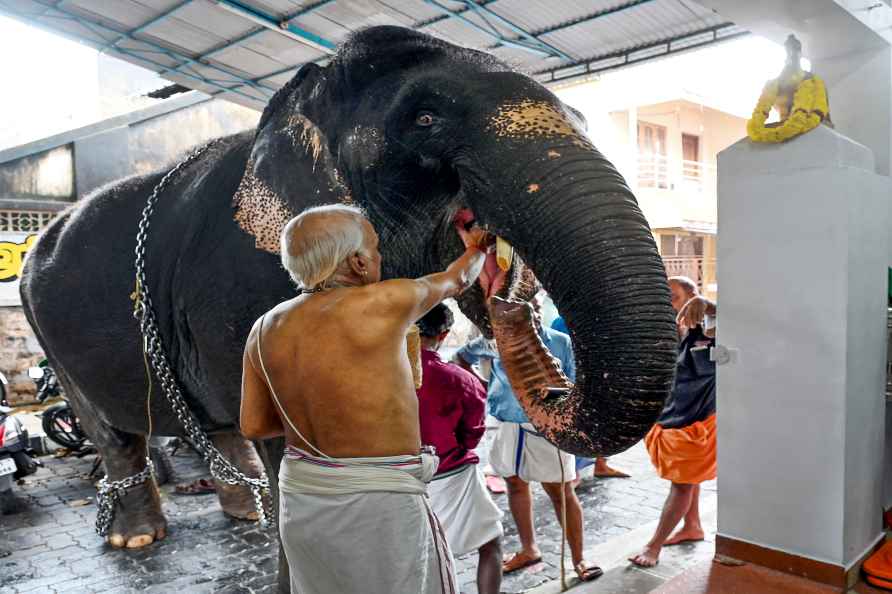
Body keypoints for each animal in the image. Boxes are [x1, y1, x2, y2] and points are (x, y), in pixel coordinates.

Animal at [20, 24, 676, 588]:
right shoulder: (238, 287)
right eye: (425, 118)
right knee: (112, 432)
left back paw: (243, 514)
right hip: (47, 329)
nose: (505, 279)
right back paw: (138, 540)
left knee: (220, 426)